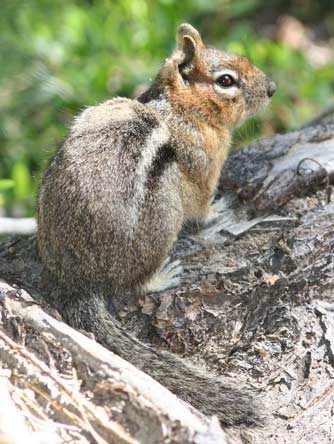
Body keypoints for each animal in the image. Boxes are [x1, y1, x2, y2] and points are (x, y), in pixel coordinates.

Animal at [37, 24, 276, 426]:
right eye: (226, 81)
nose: (272, 88)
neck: (181, 109)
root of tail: (78, 281)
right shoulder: (204, 171)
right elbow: (202, 207)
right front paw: (221, 210)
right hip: (163, 215)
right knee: (134, 283)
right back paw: (163, 275)